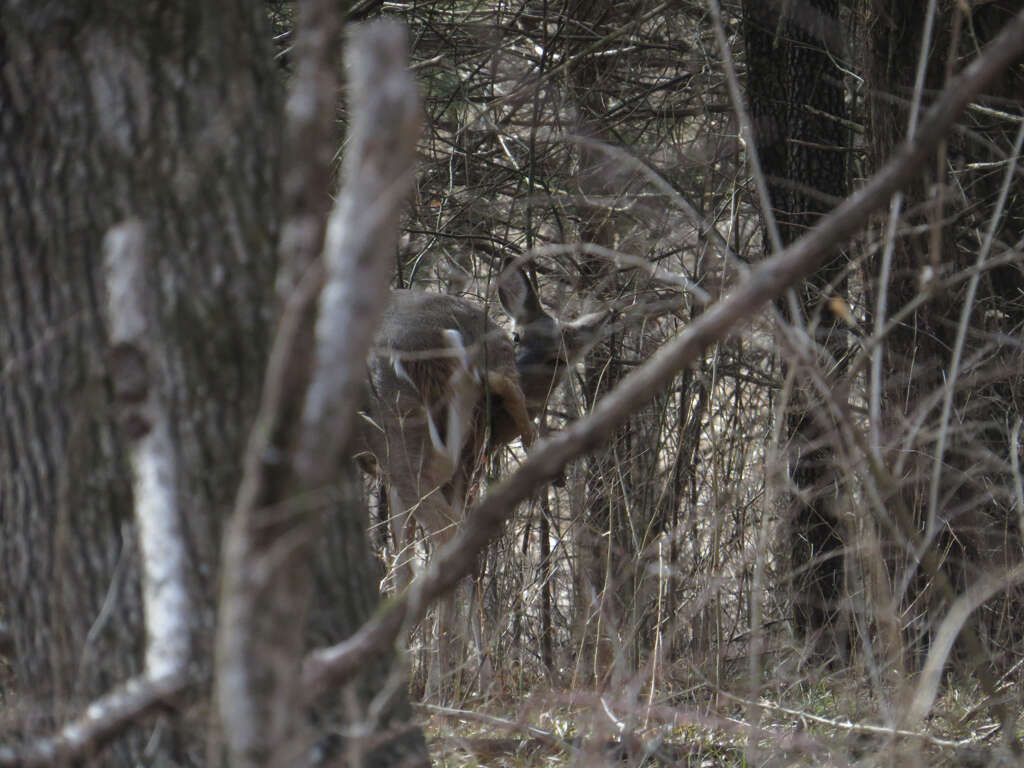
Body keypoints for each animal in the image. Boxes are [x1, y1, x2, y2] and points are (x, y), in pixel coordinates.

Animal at [356, 262, 606, 700]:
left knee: (447, 536)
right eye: (518, 334)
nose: (516, 368)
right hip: (460, 456)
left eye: (559, 360)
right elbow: (403, 560)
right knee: (459, 544)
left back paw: (433, 687)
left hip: (400, 435)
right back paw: (467, 680)